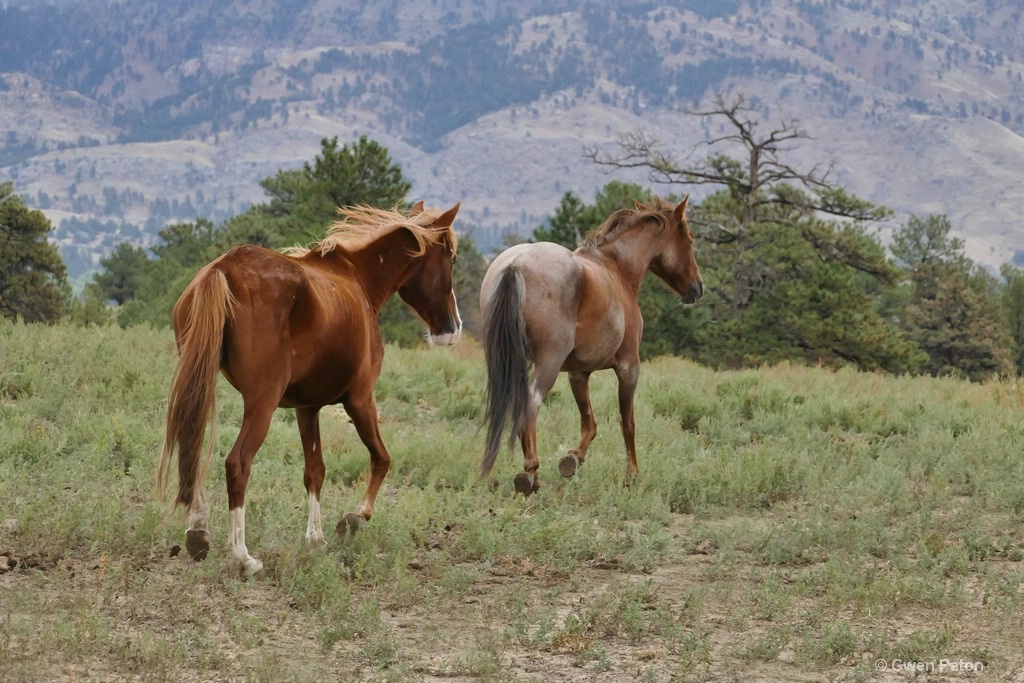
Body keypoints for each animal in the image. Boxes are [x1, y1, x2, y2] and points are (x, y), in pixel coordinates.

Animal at [155, 198, 460, 577]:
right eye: (451, 258)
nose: (452, 328)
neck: (357, 280)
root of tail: (224, 269)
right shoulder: (360, 399)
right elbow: (382, 458)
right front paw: (354, 518)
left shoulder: (307, 408)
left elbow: (315, 470)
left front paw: (315, 538)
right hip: (262, 403)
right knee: (237, 463)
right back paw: (242, 557)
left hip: (202, 385)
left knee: (192, 448)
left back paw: (198, 532)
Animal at [479, 194, 704, 493]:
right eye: (689, 240)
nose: (698, 288)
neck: (616, 269)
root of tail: (517, 264)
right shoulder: (629, 368)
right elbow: (627, 423)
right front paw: (632, 474)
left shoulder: (578, 373)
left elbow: (589, 423)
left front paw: (572, 459)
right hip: (548, 364)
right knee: (530, 404)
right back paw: (530, 473)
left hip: (504, 362)